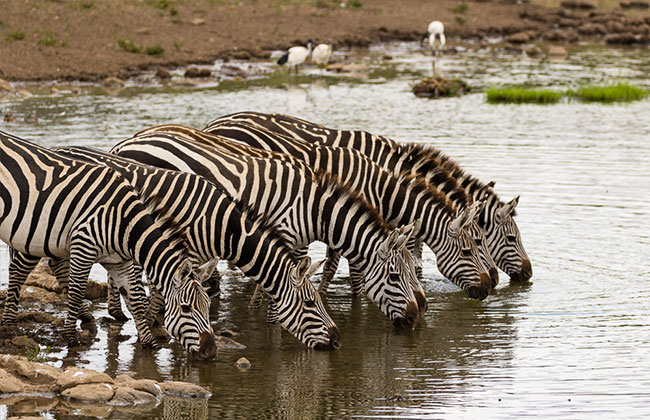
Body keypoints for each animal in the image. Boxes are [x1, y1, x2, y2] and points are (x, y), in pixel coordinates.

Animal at [0, 129, 218, 358]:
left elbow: (136, 299)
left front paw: (149, 344)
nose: (211, 351)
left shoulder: (118, 261)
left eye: (208, 305)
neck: (125, 222)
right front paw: (71, 338)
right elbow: (76, 292)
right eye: (186, 308)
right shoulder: (83, 245)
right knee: (19, 268)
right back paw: (9, 324)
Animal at [46, 146, 340, 350]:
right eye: (310, 303)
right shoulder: (182, 252)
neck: (222, 227)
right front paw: (156, 327)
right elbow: (169, 294)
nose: (337, 341)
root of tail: (61, 148)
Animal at [109, 133, 422, 326]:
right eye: (395, 277)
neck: (313, 209)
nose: (414, 318)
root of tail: (124, 145)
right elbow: (280, 281)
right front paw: (272, 320)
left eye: (411, 272)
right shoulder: (286, 234)